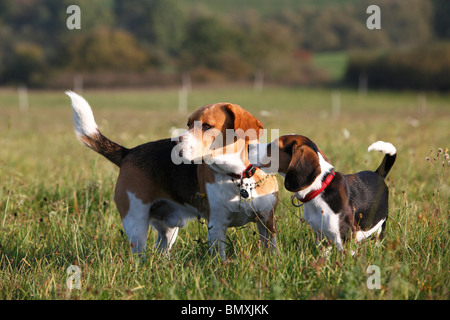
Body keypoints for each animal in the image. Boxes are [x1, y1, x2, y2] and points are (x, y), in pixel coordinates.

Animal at [66, 90, 278, 260]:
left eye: (207, 126)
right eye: (188, 124)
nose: (174, 142)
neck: (237, 175)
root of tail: (128, 152)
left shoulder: (267, 221)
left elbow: (271, 249)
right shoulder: (216, 225)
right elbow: (220, 258)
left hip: (168, 230)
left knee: (161, 249)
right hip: (135, 222)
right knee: (139, 253)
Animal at [248, 134, 396, 250]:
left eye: (273, 146)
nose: (249, 146)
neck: (319, 189)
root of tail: (378, 174)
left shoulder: (345, 240)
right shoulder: (322, 238)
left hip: (381, 226)